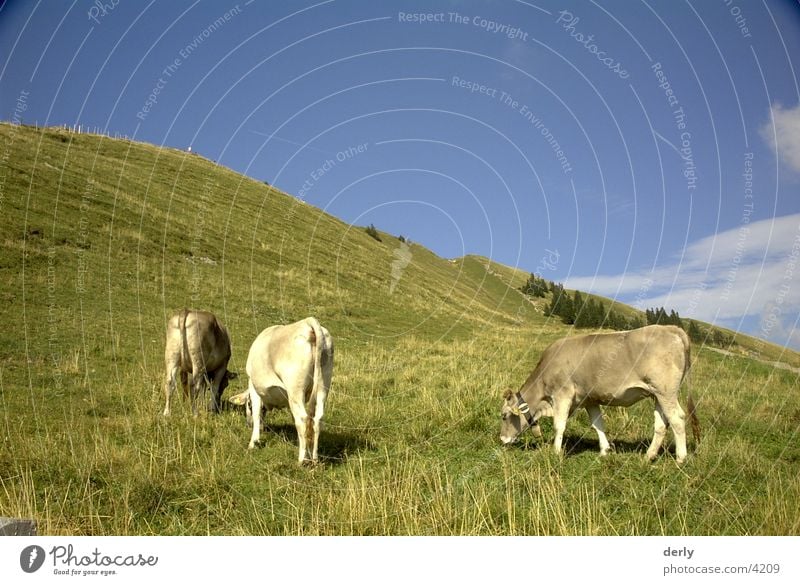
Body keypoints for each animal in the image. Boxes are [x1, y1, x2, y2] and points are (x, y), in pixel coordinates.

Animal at [230, 318, 332, 464]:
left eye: (247, 405)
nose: (248, 424)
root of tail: (307, 323)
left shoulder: (254, 386)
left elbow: (256, 413)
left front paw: (253, 442)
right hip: (323, 385)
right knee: (316, 419)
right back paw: (314, 458)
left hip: (295, 389)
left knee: (302, 419)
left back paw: (301, 460)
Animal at [500, 324, 700, 460]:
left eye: (504, 416)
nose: (502, 439)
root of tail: (672, 328)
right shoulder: (590, 399)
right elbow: (598, 425)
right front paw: (604, 450)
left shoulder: (562, 394)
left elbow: (559, 425)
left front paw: (556, 452)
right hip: (657, 394)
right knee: (661, 424)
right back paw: (648, 456)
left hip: (666, 392)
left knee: (677, 419)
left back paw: (681, 458)